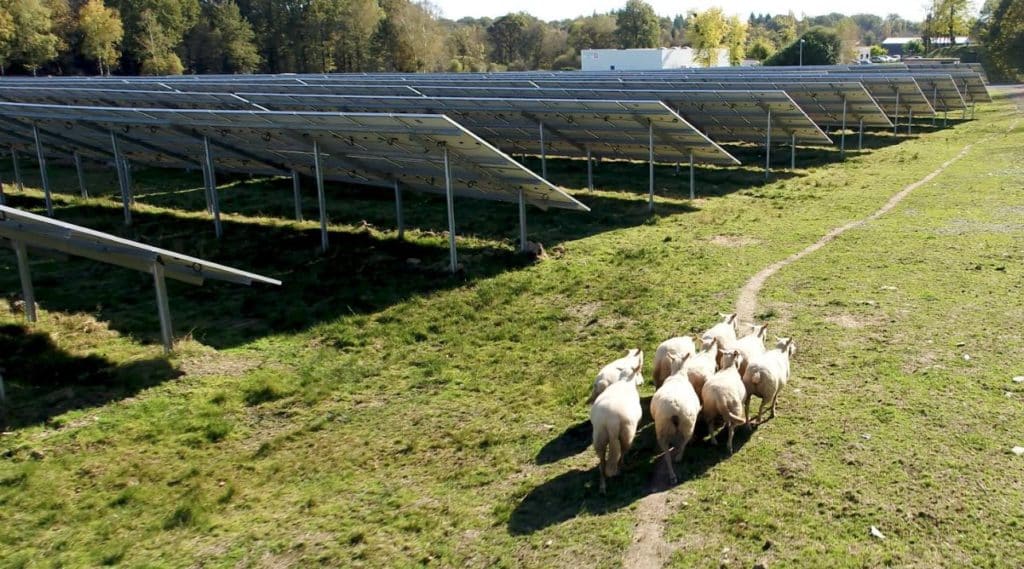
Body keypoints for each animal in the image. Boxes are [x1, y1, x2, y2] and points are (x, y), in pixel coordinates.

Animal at [589, 356, 643, 493]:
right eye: (639, 372)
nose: (642, 382)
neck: (624, 381)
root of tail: (610, 420)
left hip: (599, 436)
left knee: (602, 462)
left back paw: (602, 487)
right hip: (627, 433)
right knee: (622, 452)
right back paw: (622, 468)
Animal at [651, 354, 700, 483]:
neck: (678, 374)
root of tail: (675, 410)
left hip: (662, 430)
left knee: (667, 456)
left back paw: (672, 475)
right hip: (688, 425)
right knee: (684, 441)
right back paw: (679, 457)